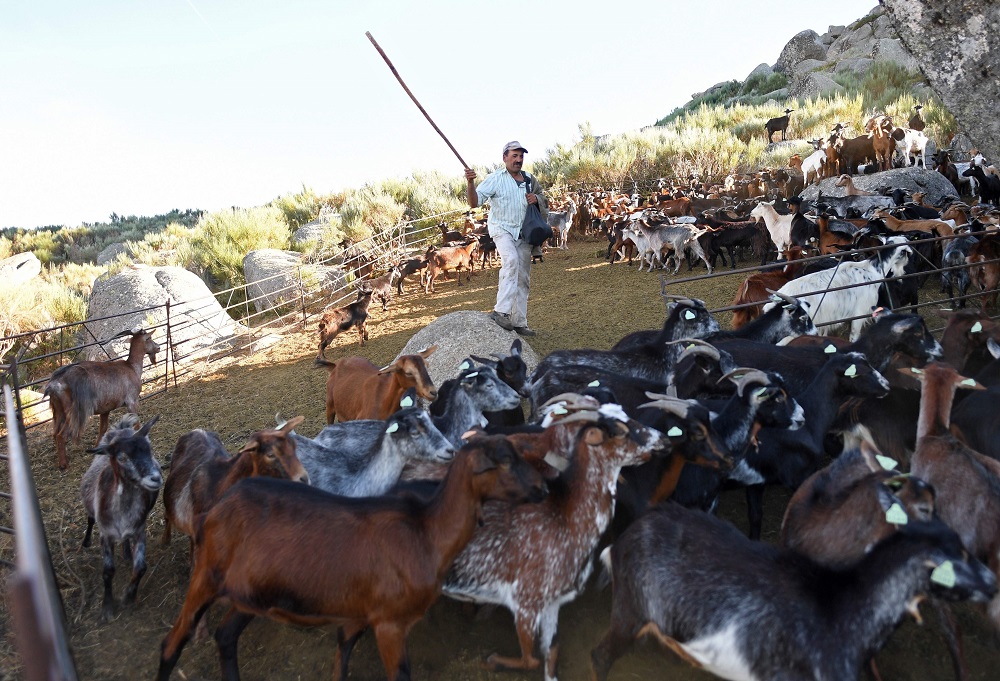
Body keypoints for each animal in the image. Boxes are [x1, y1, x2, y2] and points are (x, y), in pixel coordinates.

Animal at [44, 329, 159, 470]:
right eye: (149, 338)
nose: (158, 347)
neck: (131, 367)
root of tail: (54, 384)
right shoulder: (132, 401)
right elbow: (136, 423)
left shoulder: (106, 409)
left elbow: (103, 429)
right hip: (73, 412)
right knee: (62, 435)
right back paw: (63, 464)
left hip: (57, 410)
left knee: (55, 433)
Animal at [80, 414, 162, 622]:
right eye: (122, 457)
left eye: (149, 449)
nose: (156, 478)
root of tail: (121, 428)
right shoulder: (106, 535)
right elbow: (108, 572)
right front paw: (107, 608)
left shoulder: (139, 530)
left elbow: (141, 567)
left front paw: (128, 598)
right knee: (90, 519)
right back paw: (86, 541)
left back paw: (126, 552)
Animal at [155, 435, 548, 681]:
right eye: (505, 461)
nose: (543, 488)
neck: (426, 533)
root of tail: (213, 511)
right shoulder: (389, 623)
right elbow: (399, 673)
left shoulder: (359, 613)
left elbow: (342, 655)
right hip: (206, 576)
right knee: (172, 643)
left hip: (252, 593)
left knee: (225, 636)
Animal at [443, 400, 665, 681]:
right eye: (620, 431)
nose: (663, 440)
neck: (565, 520)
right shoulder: (526, 603)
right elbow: (530, 659)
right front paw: (490, 661)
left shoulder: (552, 604)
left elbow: (551, 653)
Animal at [591, 503, 996, 681]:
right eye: (959, 555)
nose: (993, 583)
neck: (842, 609)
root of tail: (622, 541)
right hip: (629, 610)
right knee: (600, 656)